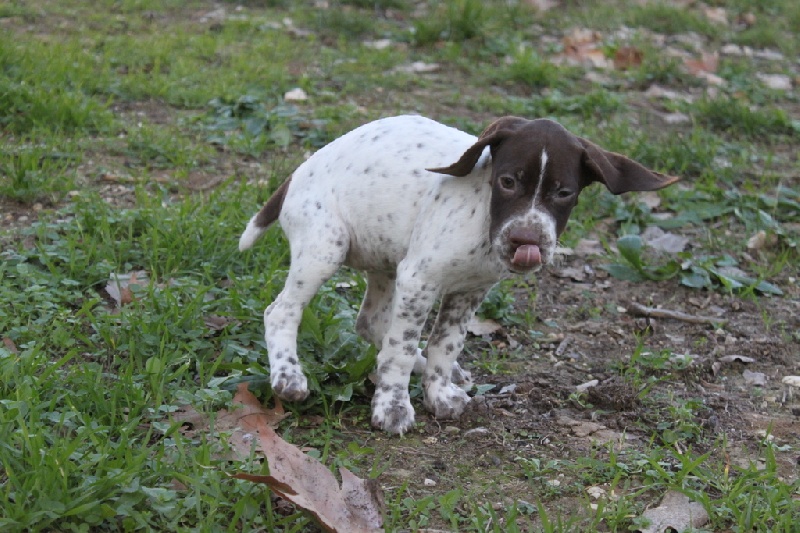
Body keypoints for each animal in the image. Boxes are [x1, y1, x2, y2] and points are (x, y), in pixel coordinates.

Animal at [239, 114, 680, 434]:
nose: (526, 240)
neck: (484, 218)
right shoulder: (420, 279)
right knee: (282, 312)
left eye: (564, 193)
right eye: (507, 181)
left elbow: (444, 344)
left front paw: (438, 392)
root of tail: (297, 174)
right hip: (326, 246)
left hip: (387, 261)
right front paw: (393, 407)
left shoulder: (470, 291)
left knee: (372, 323)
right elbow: (401, 349)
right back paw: (288, 376)